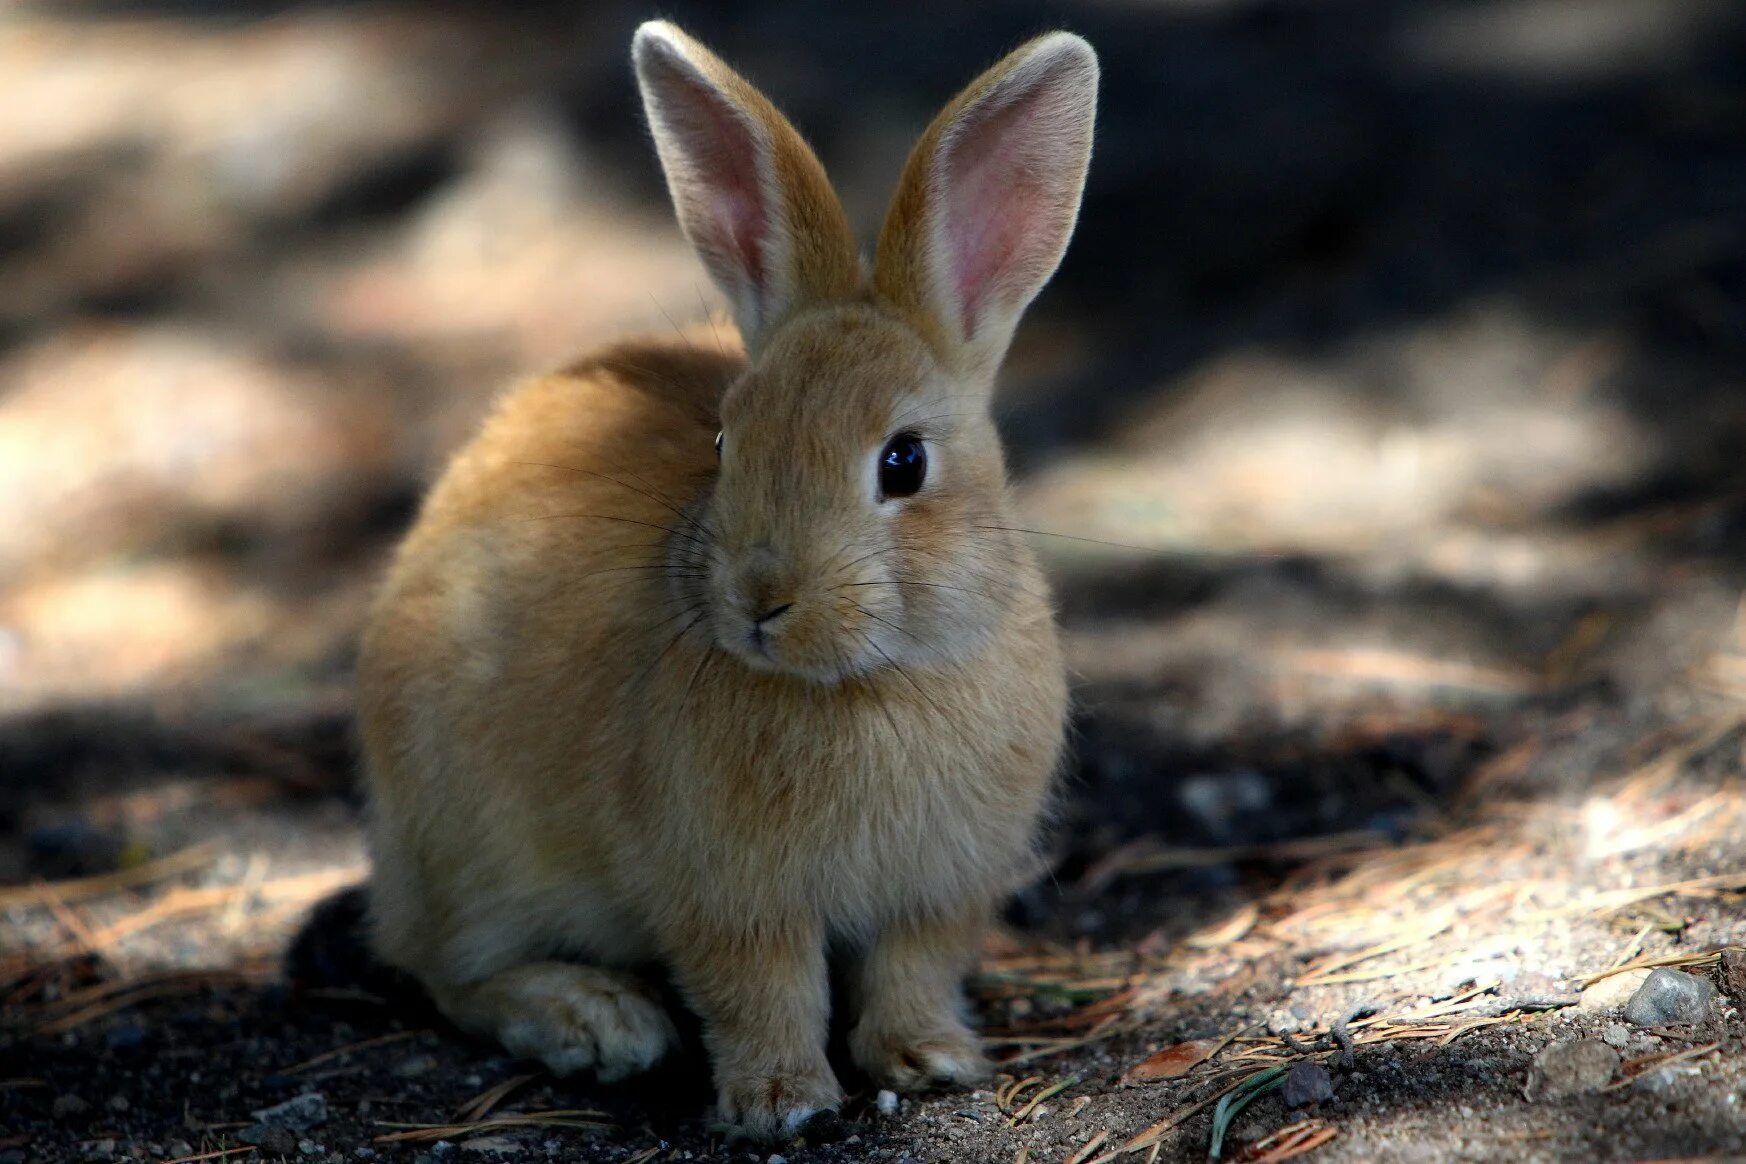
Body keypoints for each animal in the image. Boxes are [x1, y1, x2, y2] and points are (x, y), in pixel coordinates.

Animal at [352, 18, 1089, 1144]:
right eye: (726, 443)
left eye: (904, 463)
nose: (760, 602)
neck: (868, 686)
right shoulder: (727, 898)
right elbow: (761, 992)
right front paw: (781, 1104)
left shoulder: (940, 891)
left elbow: (910, 972)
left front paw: (932, 1060)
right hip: (471, 841)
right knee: (443, 966)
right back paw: (594, 1020)